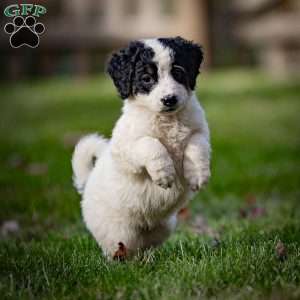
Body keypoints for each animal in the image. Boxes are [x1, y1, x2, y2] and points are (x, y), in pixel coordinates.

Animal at [72, 37, 211, 258]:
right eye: (146, 78)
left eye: (178, 72)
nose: (169, 99)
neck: (167, 121)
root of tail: (87, 184)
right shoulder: (126, 148)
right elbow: (150, 144)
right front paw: (164, 173)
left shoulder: (200, 131)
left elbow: (196, 147)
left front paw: (197, 174)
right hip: (119, 234)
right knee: (121, 250)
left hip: (163, 227)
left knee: (145, 247)